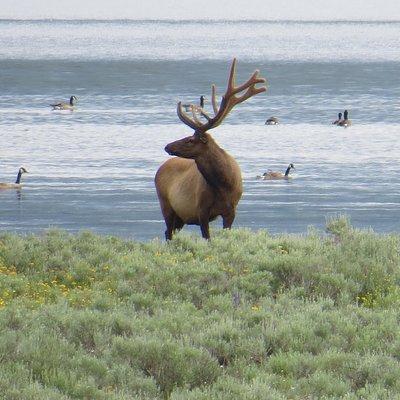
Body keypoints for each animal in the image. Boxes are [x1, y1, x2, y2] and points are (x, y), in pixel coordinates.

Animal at [155, 58, 268, 239]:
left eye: (190, 140)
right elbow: (207, 238)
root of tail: (160, 168)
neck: (223, 186)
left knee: (168, 232)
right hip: (166, 205)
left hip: (179, 217)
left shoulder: (231, 211)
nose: (167, 146)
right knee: (168, 233)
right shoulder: (200, 209)